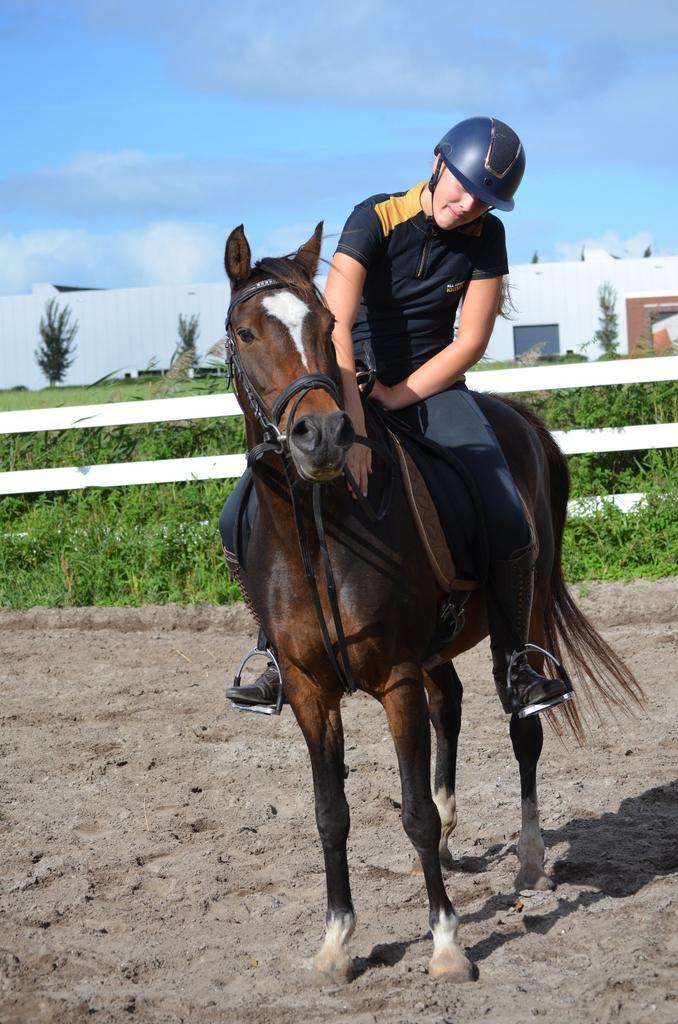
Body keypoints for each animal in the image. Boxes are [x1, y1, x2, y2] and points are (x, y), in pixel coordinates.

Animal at [222, 222, 643, 982]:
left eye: (326, 327)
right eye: (245, 332)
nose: (322, 436)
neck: (320, 530)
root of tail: (521, 419)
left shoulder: (395, 680)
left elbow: (412, 809)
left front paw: (447, 943)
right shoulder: (308, 689)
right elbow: (330, 812)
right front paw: (336, 940)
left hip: (522, 615)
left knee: (523, 729)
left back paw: (529, 861)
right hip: (436, 647)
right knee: (451, 703)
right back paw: (453, 839)